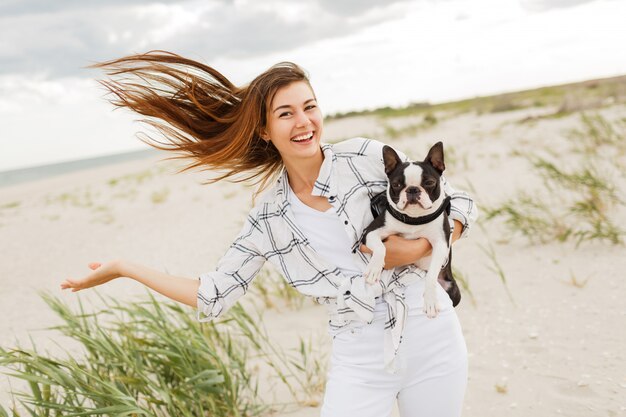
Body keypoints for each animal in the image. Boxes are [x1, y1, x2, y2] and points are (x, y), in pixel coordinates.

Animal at [360, 141, 458, 316]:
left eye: (429, 183)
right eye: (396, 184)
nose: (412, 189)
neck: (414, 220)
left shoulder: (441, 244)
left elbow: (431, 275)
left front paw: (430, 300)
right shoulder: (370, 232)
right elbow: (380, 248)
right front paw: (374, 268)